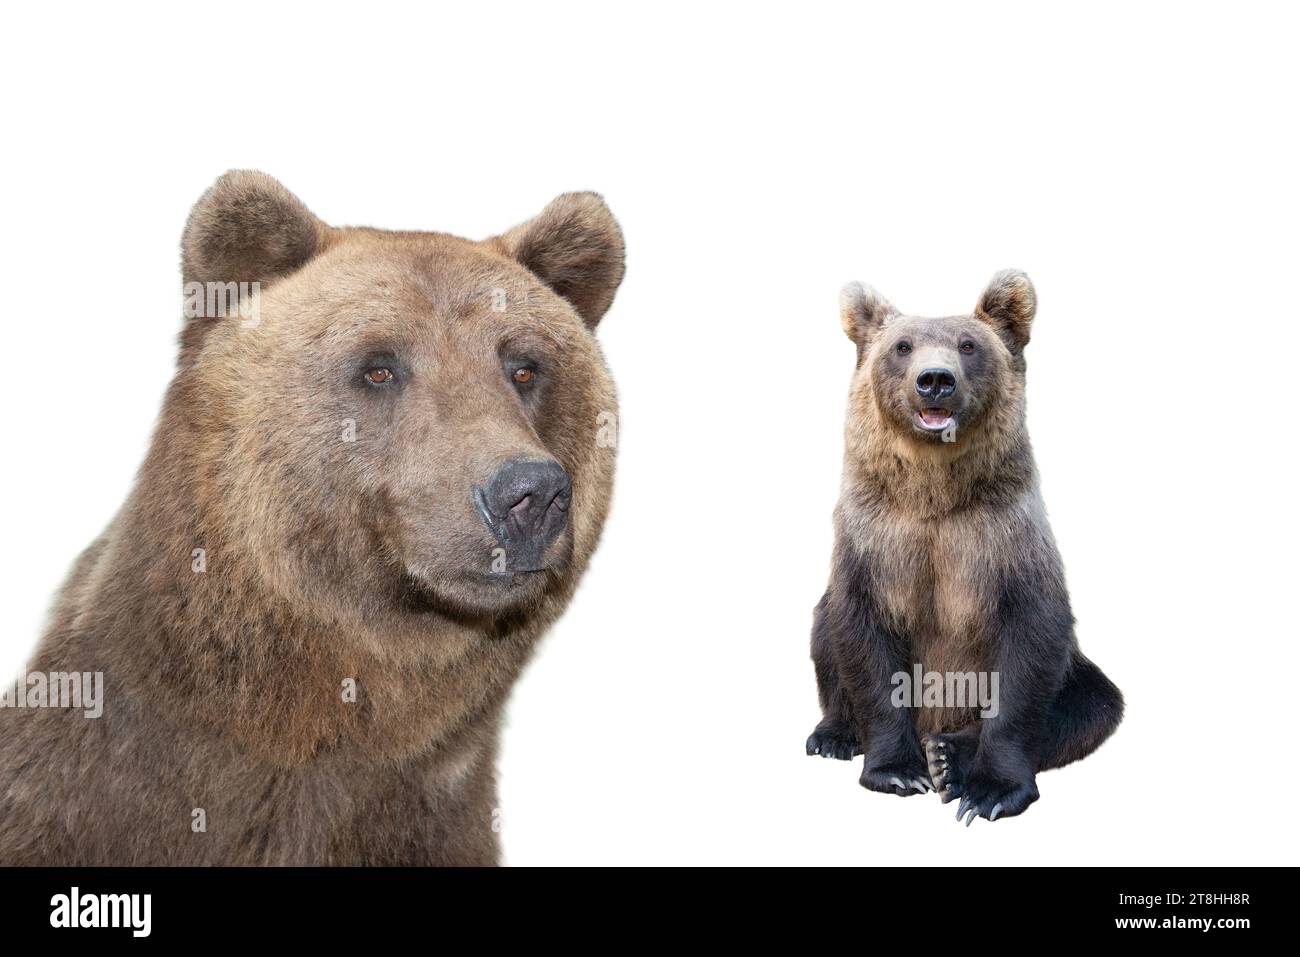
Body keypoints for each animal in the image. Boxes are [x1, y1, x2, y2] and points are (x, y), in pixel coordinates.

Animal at [806, 271, 1122, 824]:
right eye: (902, 346)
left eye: (968, 345)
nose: (935, 379)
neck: (935, 491)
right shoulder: (874, 541)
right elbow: (862, 639)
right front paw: (897, 770)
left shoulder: (1004, 542)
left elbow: (1029, 647)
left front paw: (990, 790)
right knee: (824, 632)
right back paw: (835, 736)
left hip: (1078, 673)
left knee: (1093, 706)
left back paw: (948, 753)